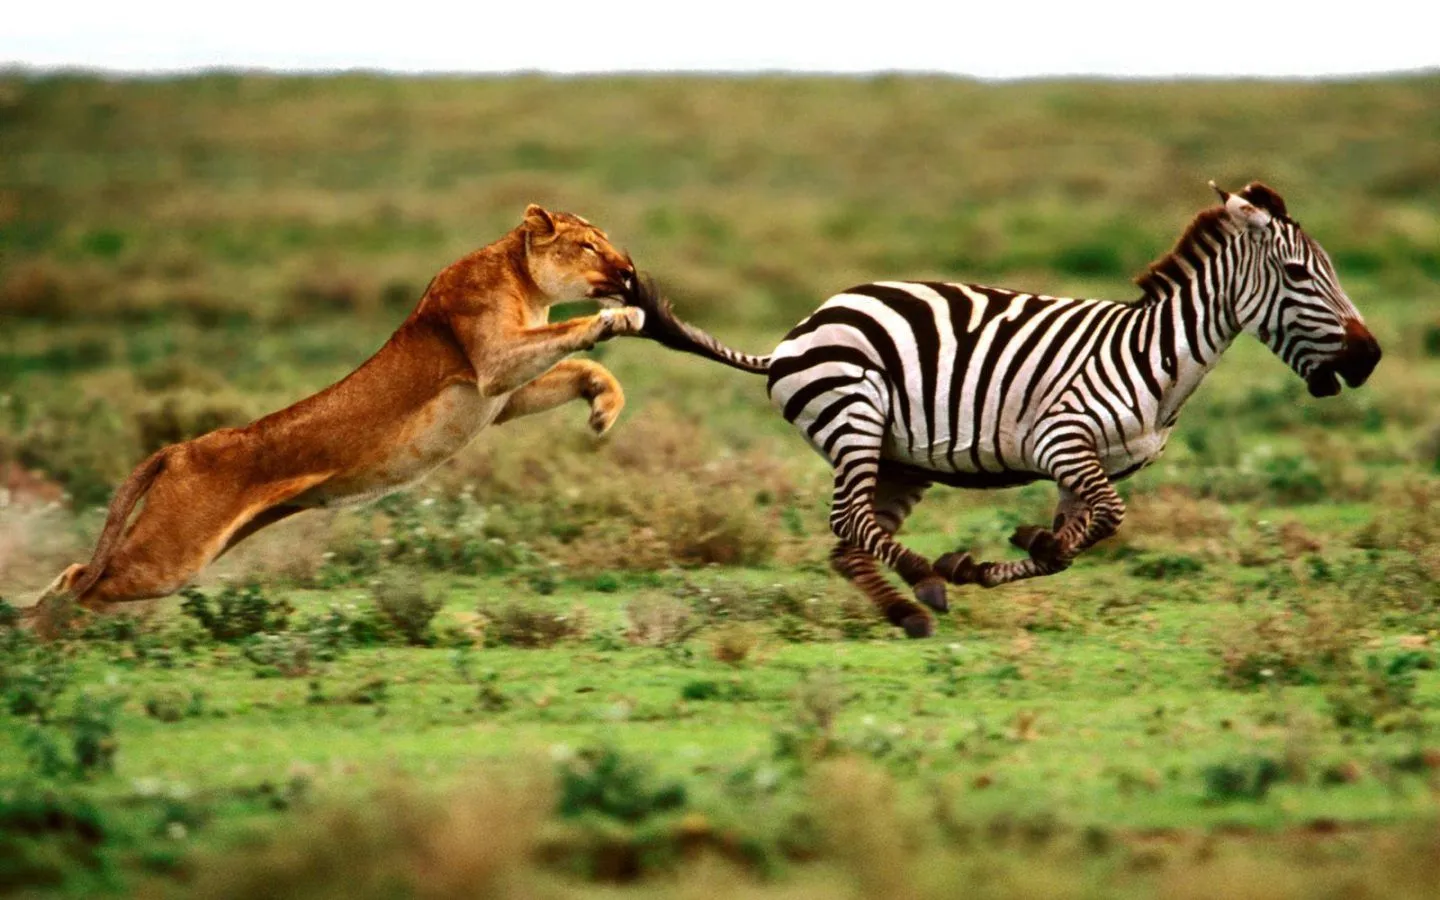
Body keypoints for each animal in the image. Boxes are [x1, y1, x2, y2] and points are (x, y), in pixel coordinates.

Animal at [630, 182, 1382, 636]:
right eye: (1299, 274)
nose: (1369, 358)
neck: (1156, 356)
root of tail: (798, 333)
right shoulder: (1062, 438)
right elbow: (1108, 520)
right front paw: (986, 559)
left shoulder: (1093, 465)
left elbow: (1078, 542)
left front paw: (1015, 551)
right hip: (854, 414)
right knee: (849, 520)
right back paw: (925, 582)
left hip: (898, 457)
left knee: (849, 539)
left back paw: (905, 610)